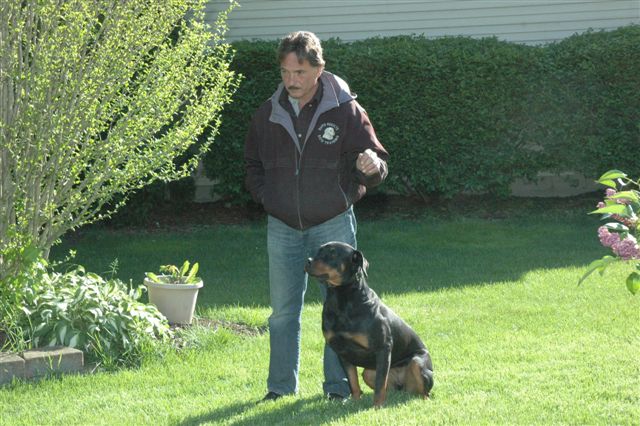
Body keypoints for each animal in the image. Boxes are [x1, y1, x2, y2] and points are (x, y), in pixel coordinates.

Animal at [305, 241, 433, 407]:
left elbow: (379, 385)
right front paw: (355, 402)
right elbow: (353, 381)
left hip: (417, 362)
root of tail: (403, 385)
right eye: (318, 251)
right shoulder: (342, 352)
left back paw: (423, 400)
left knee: (423, 390)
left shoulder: (383, 348)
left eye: (333, 254)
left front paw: (377, 407)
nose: (308, 261)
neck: (342, 298)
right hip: (369, 372)